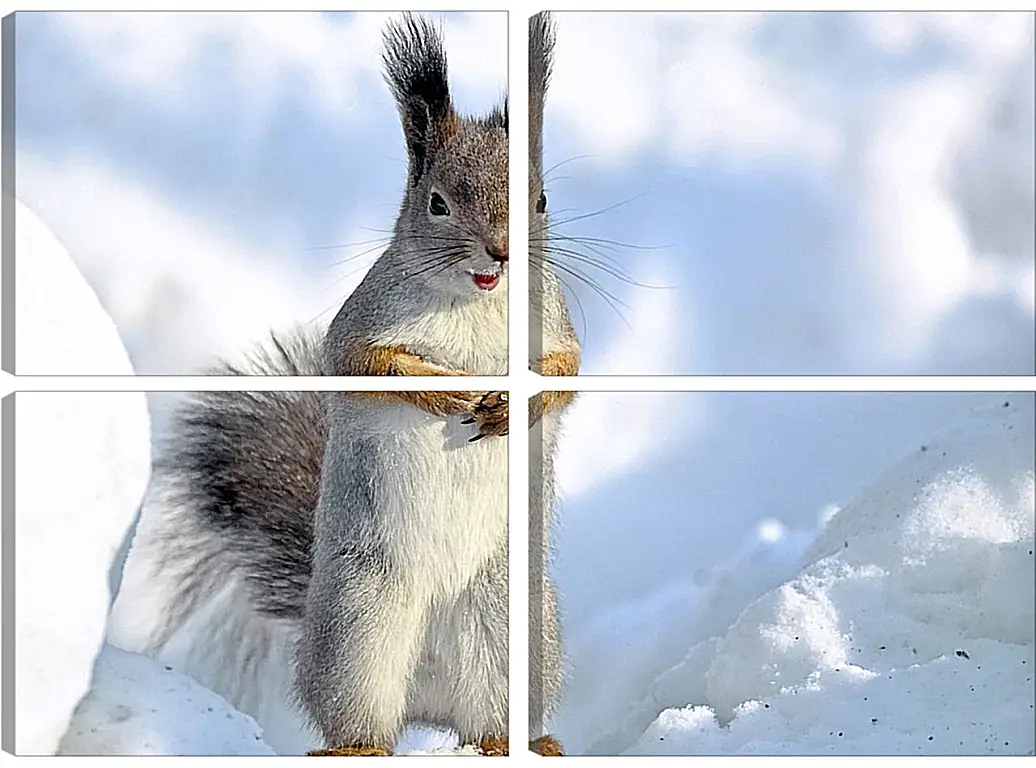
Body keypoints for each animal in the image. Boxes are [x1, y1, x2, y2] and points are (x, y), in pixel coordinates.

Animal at [109, 10, 580, 754]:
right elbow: (366, 368)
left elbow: (565, 378)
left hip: (513, 626)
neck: (478, 302)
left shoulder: (555, 327)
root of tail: (428, 696)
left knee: (493, 714)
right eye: (436, 203)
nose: (501, 254)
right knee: (360, 712)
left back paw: (521, 742)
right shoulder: (360, 327)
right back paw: (356, 744)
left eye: (539, 199)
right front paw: (446, 390)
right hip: (359, 623)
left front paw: (509, 407)